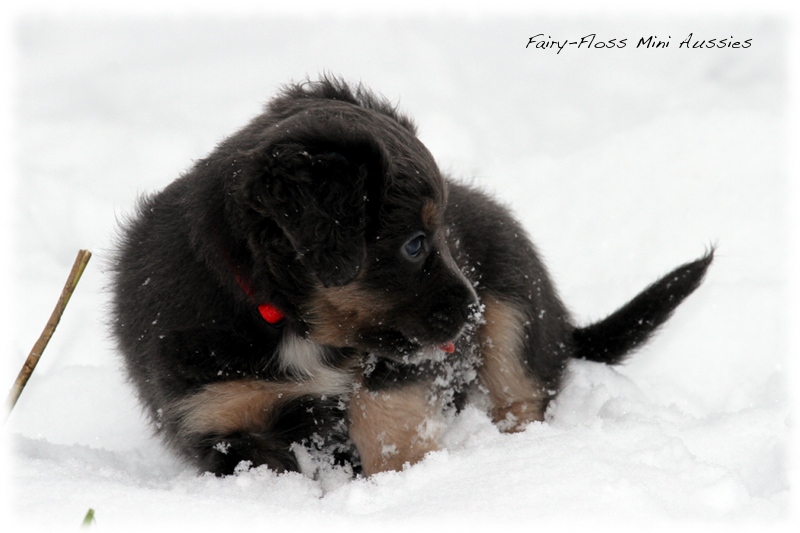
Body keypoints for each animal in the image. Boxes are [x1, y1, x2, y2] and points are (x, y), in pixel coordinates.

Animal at [111, 77, 712, 476]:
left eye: (442, 234)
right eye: (414, 244)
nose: (470, 312)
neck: (295, 327)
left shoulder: (407, 362)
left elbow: (382, 410)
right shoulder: (216, 418)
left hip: (516, 306)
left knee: (523, 390)